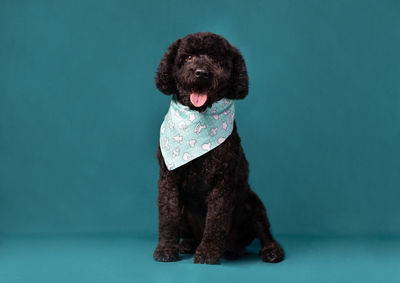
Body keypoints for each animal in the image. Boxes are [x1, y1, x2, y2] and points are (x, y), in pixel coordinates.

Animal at [154, 32, 284, 266]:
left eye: (216, 60)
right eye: (188, 57)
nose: (201, 73)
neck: (197, 118)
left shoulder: (223, 183)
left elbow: (215, 220)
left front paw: (208, 253)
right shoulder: (168, 179)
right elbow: (168, 216)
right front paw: (166, 249)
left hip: (252, 203)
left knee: (264, 232)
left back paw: (269, 250)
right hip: (185, 210)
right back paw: (189, 244)